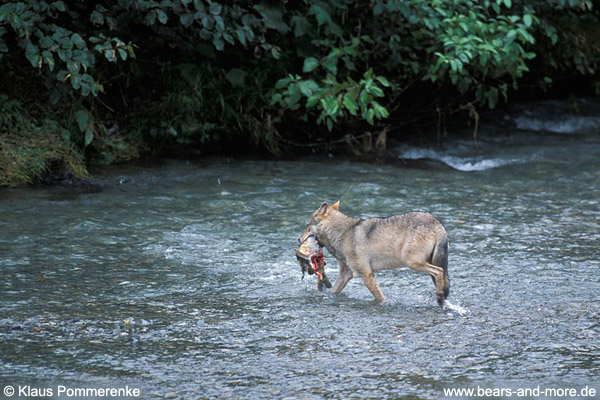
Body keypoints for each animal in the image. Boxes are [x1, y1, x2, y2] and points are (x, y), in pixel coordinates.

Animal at [300, 200, 450, 306]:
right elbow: (332, 292)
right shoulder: (346, 274)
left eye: (307, 226)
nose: (299, 239)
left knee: (439, 271)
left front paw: (386, 303)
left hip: (412, 262)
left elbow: (379, 297)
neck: (343, 233)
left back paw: (440, 298)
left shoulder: (366, 274)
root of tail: (437, 223)